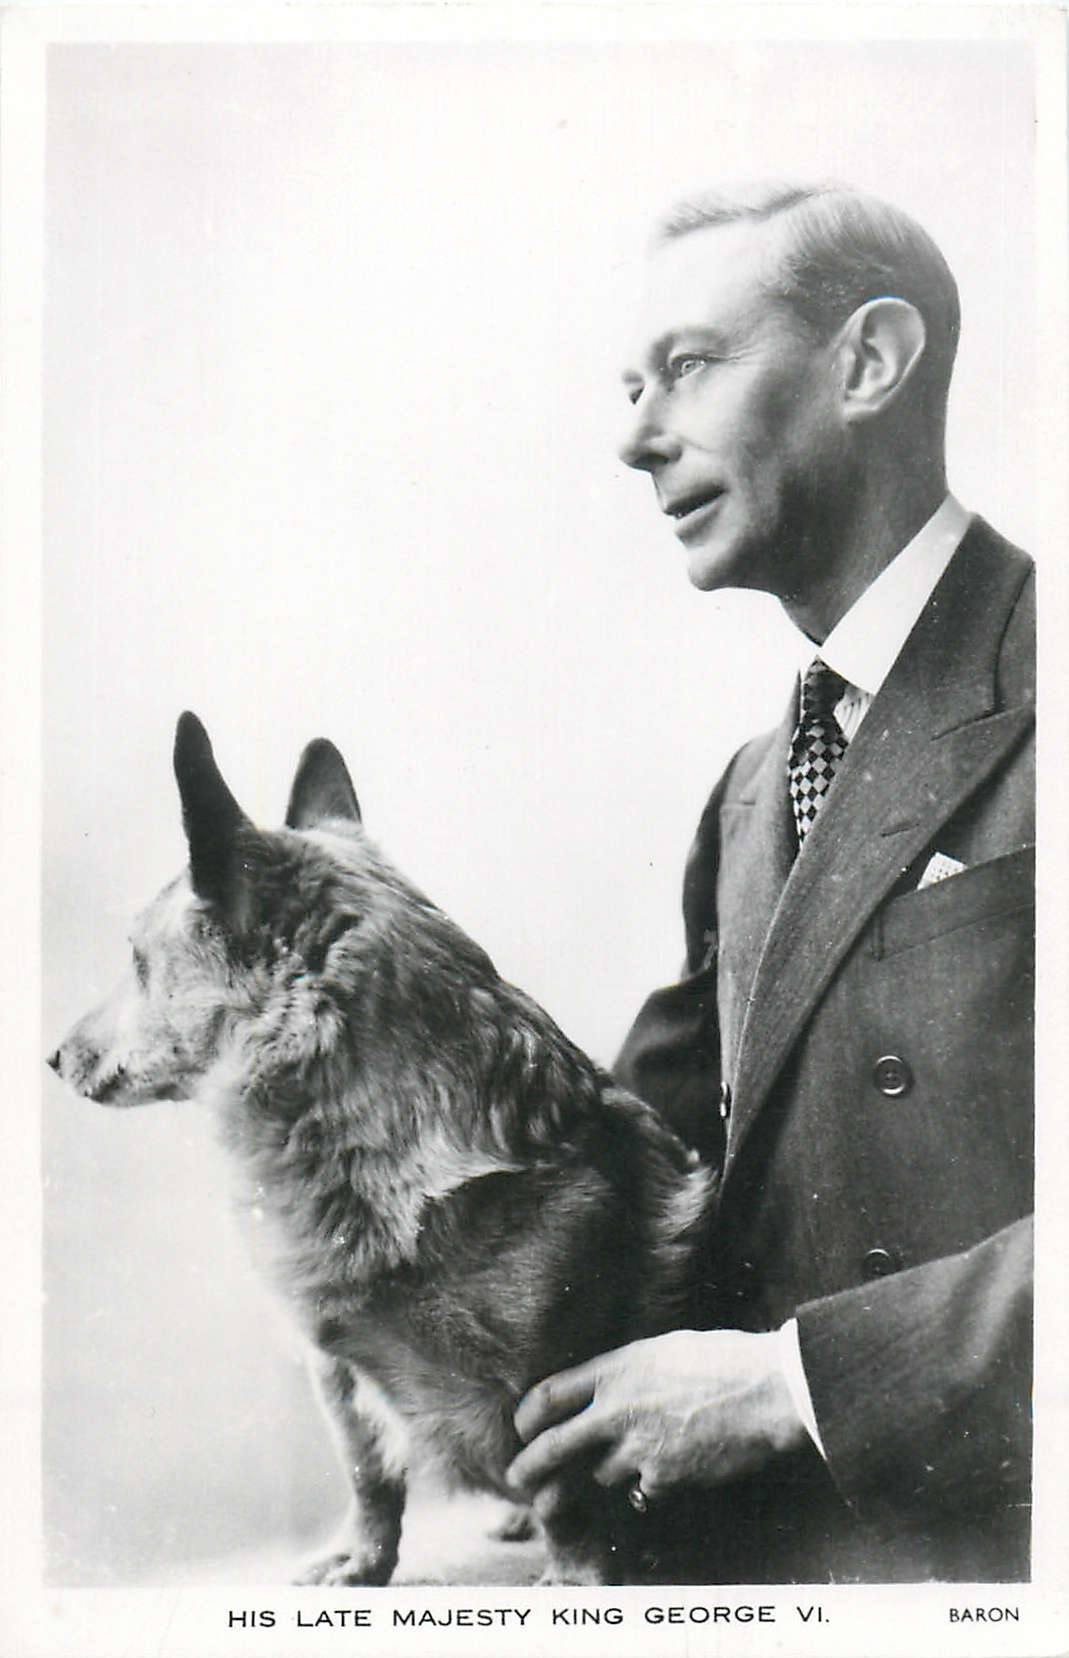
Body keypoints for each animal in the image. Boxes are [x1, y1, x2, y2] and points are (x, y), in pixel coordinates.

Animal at [50, 713, 714, 1585]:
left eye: (136, 963)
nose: (52, 1058)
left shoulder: (553, 1384)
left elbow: (564, 1494)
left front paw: (576, 1575)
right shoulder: (336, 1373)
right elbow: (368, 1477)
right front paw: (360, 1564)